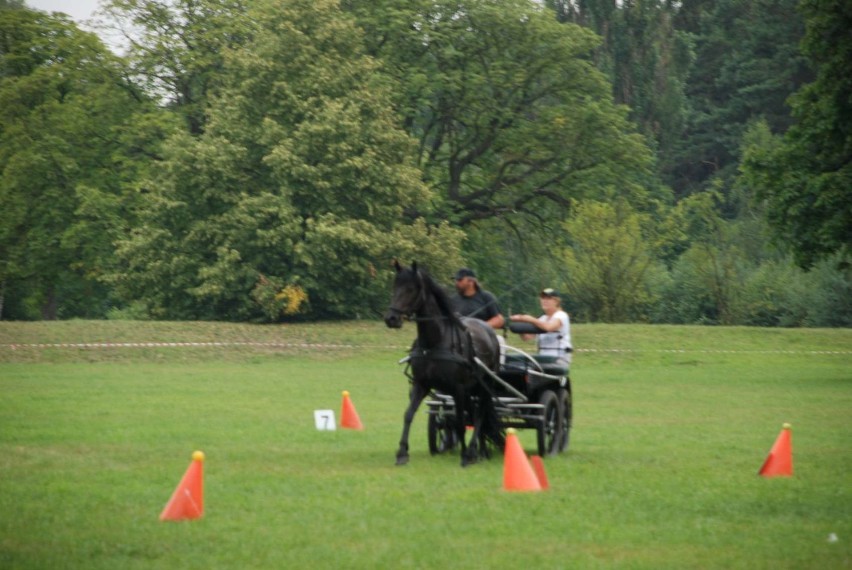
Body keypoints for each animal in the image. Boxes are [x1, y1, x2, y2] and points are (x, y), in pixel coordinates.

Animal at [382, 260, 502, 464]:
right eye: (395, 286)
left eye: (411, 289)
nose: (391, 318)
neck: (435, 342)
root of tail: (489, 331)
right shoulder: (421, 384)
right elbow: (408, 414)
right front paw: (402, 453)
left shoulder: (458, 388)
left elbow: (461, 422)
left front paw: (465, 456)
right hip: (471, 389)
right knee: (476, 413)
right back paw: (481, 450)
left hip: (484, 385)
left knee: (480, 413)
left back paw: (473, 451)